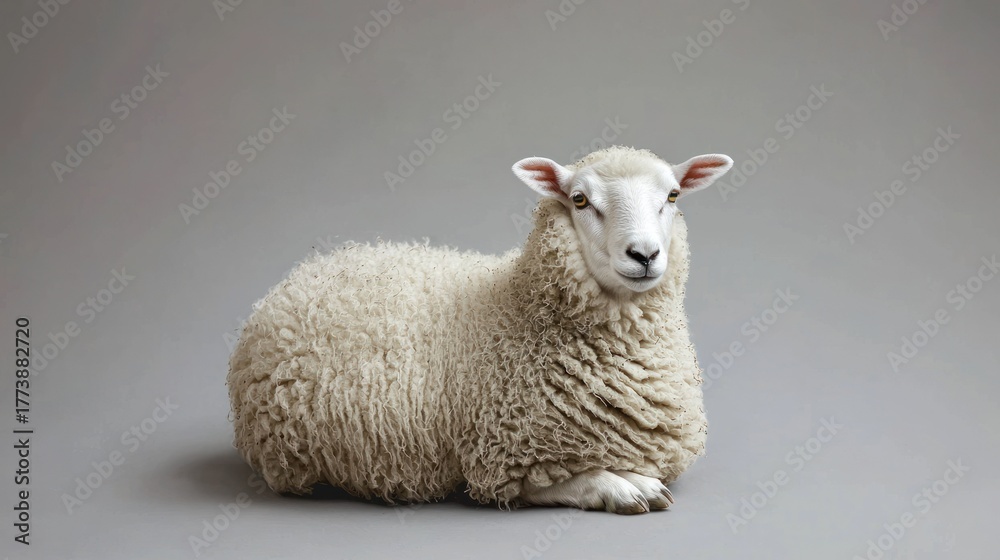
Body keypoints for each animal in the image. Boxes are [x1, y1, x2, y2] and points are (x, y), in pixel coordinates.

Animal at [227, 146, 733, 514]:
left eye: (673, 196)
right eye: (580, 200)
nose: (644, 254)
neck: (520, 307)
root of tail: (295, 278)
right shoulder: (505, 459)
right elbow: (579, 479)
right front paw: (627, 487)